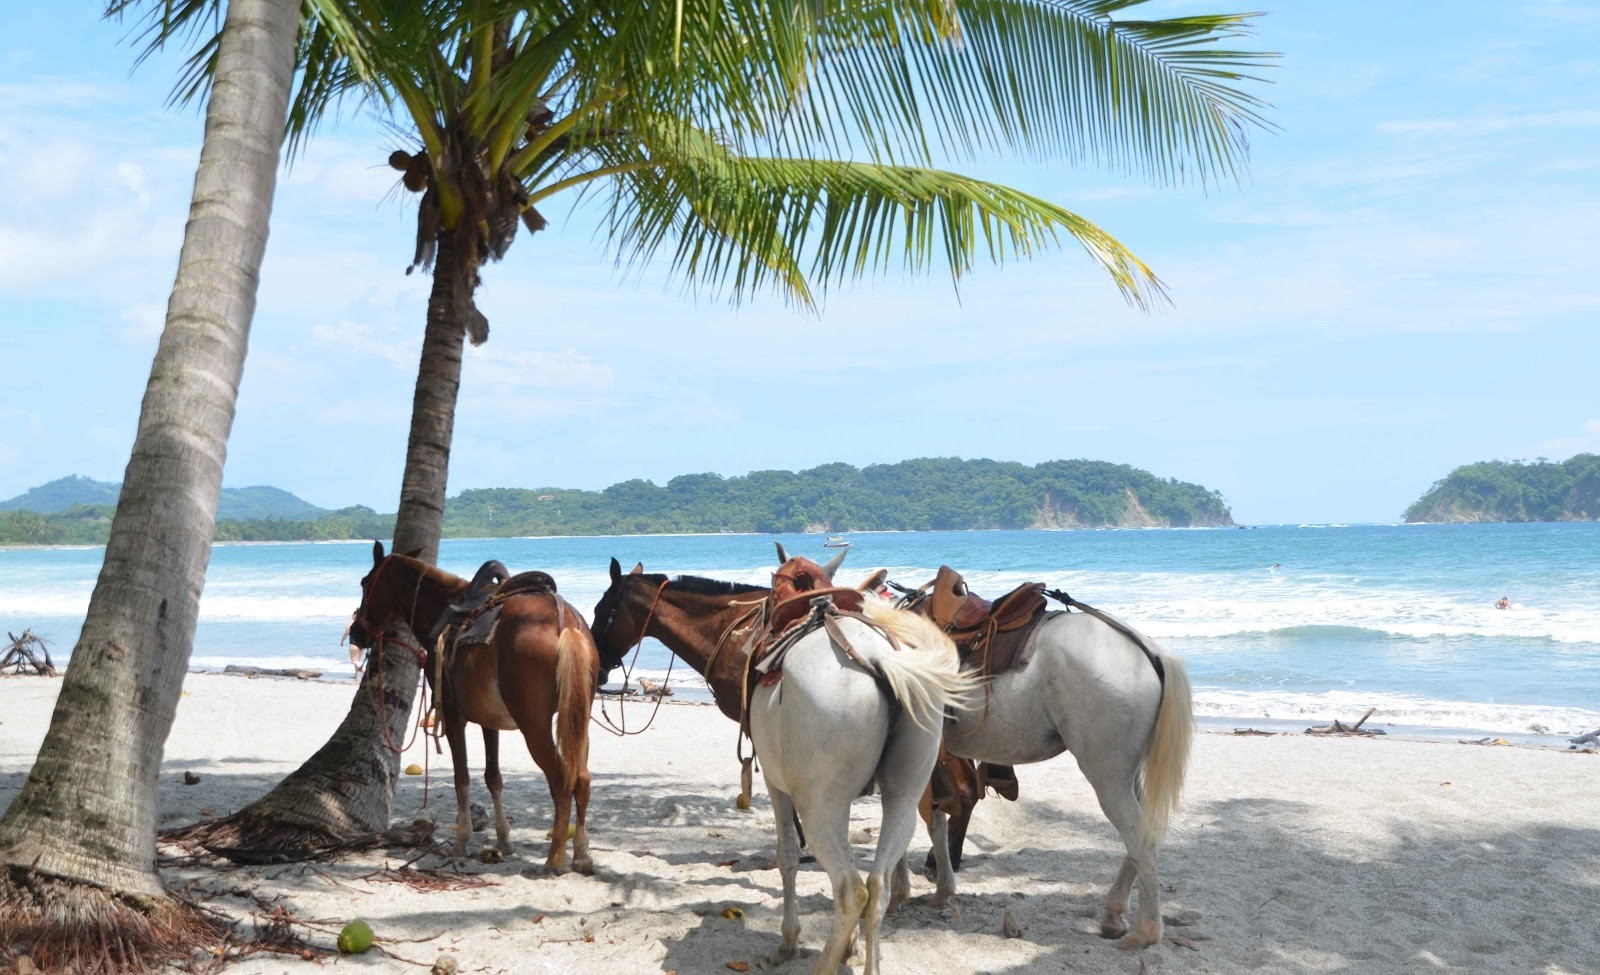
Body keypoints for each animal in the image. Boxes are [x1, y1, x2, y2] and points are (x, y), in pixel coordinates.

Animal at [348, 541, 617, 873]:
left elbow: (462, 778)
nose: (357, 633)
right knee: (581, 777)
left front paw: (462, 840)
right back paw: (580, 854)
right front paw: (503, 839)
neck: (442, 610)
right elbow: (493, 778)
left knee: (560, 779)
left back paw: (555, 857)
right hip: (577, 719)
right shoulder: (490, 721)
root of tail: (564, 622)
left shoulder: (452, 717)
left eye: (365, 583)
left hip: (535, 725)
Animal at [895, 571, 1194, 950]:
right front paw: (935, 890)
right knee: (1143, 836)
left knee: (1139, 838)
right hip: (1127, 778)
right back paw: (1114, 914)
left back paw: (1147, 931)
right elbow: (931, 819)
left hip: (1107, 777)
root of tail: (1147, 649)